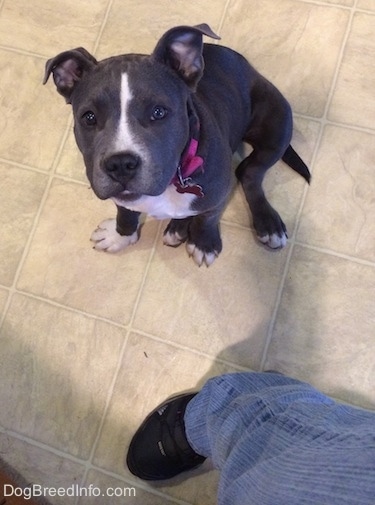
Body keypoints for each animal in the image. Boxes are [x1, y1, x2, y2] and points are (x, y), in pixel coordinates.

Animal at [43, 22, 312, 268]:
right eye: (88, 117)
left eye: (159, 112)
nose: (120, 164)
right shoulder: (123, 198)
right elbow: (125, 212)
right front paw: (120, 236)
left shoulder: (216, 194)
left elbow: (207, 218)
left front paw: (204, 243)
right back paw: (178, 227)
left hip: (278, 122)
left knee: (249, 172)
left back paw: (267, 224)